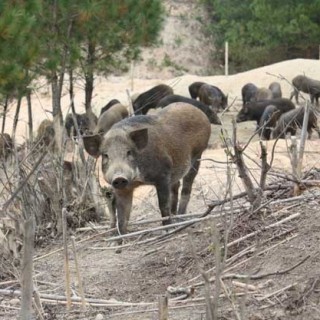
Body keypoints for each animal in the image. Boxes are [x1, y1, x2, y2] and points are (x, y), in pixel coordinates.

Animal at [84, 103, 211, 238]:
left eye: (129, 152)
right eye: (105, 155)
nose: (119, 177)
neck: (138, 180)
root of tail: (199, 112)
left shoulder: (163, 175)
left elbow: (163, 205)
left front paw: (167, 231)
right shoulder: (122, 188)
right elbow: (122, 214)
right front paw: (119, 238)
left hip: (198, 154)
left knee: (187, 187)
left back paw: (180, 219)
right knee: (175, 187)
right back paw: (175, 217)